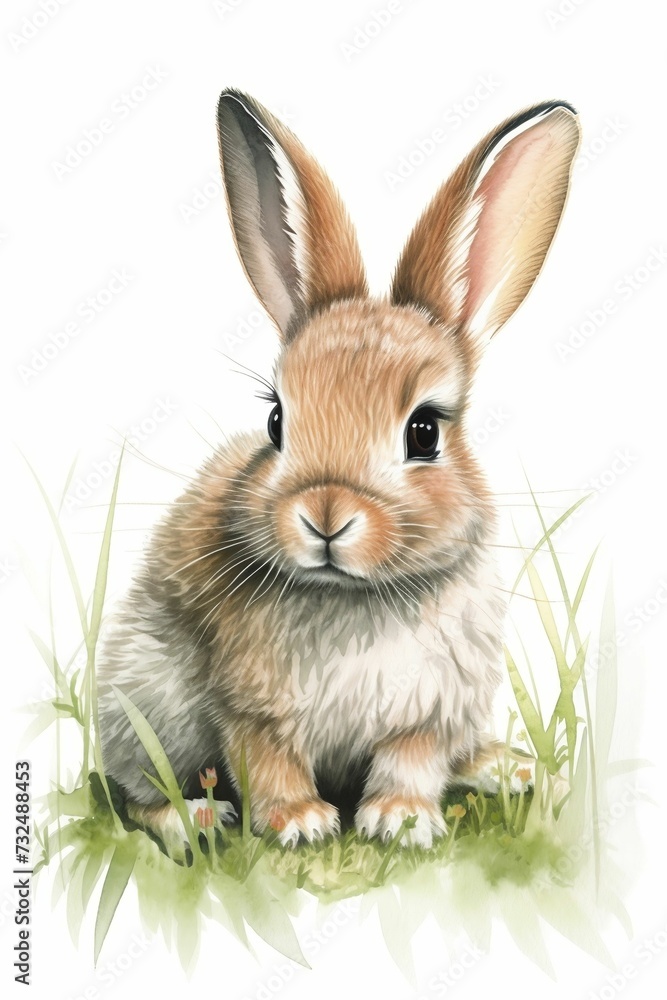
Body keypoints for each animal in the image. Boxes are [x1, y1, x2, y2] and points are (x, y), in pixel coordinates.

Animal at [97, 90, 581, 849]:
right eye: (277, 422)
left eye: (424, 431)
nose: (325, 516)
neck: (357, 597)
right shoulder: (252, 711)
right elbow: (267, 763)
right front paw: (298, 822)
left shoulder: (426, 712)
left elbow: (411, 761)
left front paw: (401, 819)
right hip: (139, 703)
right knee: (140, 790)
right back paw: (193, 820)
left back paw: (509, 769)